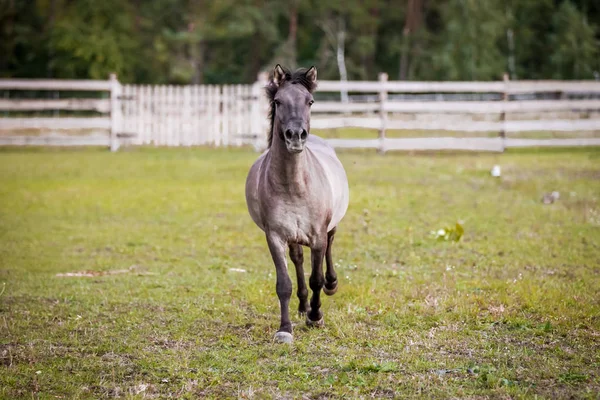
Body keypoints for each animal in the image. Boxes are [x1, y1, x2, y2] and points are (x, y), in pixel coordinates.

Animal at [244, 65, 350, 344]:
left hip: (330, 228)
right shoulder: (275, 237)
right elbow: (284, 284)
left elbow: (316, 279)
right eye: (278, 102)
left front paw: (316, 316)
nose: (296, 136)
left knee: (330, 249)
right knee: (298, 260)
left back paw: (330, 286)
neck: (294, 186)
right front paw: (285, 329)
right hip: (294, 237)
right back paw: (302, 306)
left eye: (310, 101)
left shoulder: (318, 236)